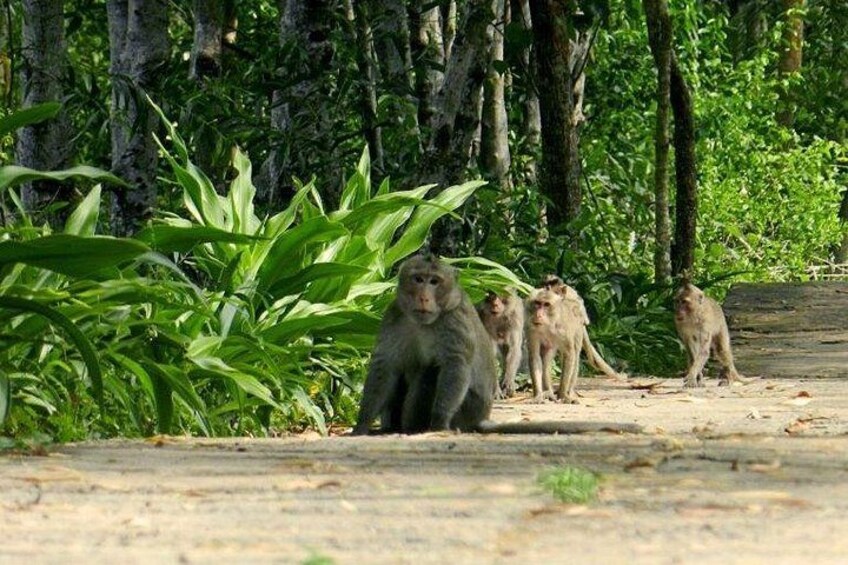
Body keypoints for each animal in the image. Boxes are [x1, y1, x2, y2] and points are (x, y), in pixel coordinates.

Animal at [353, 255, 643, 436]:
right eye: (418, 279)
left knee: (429, 371)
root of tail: (482, 417)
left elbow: (455, 366)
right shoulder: (395, 315)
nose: (424, 297)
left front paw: (439, 422)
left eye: (434, 281)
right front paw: (362, 425)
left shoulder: (456, 322)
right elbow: (385, 366)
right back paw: (391, 428)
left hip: (468, 408)